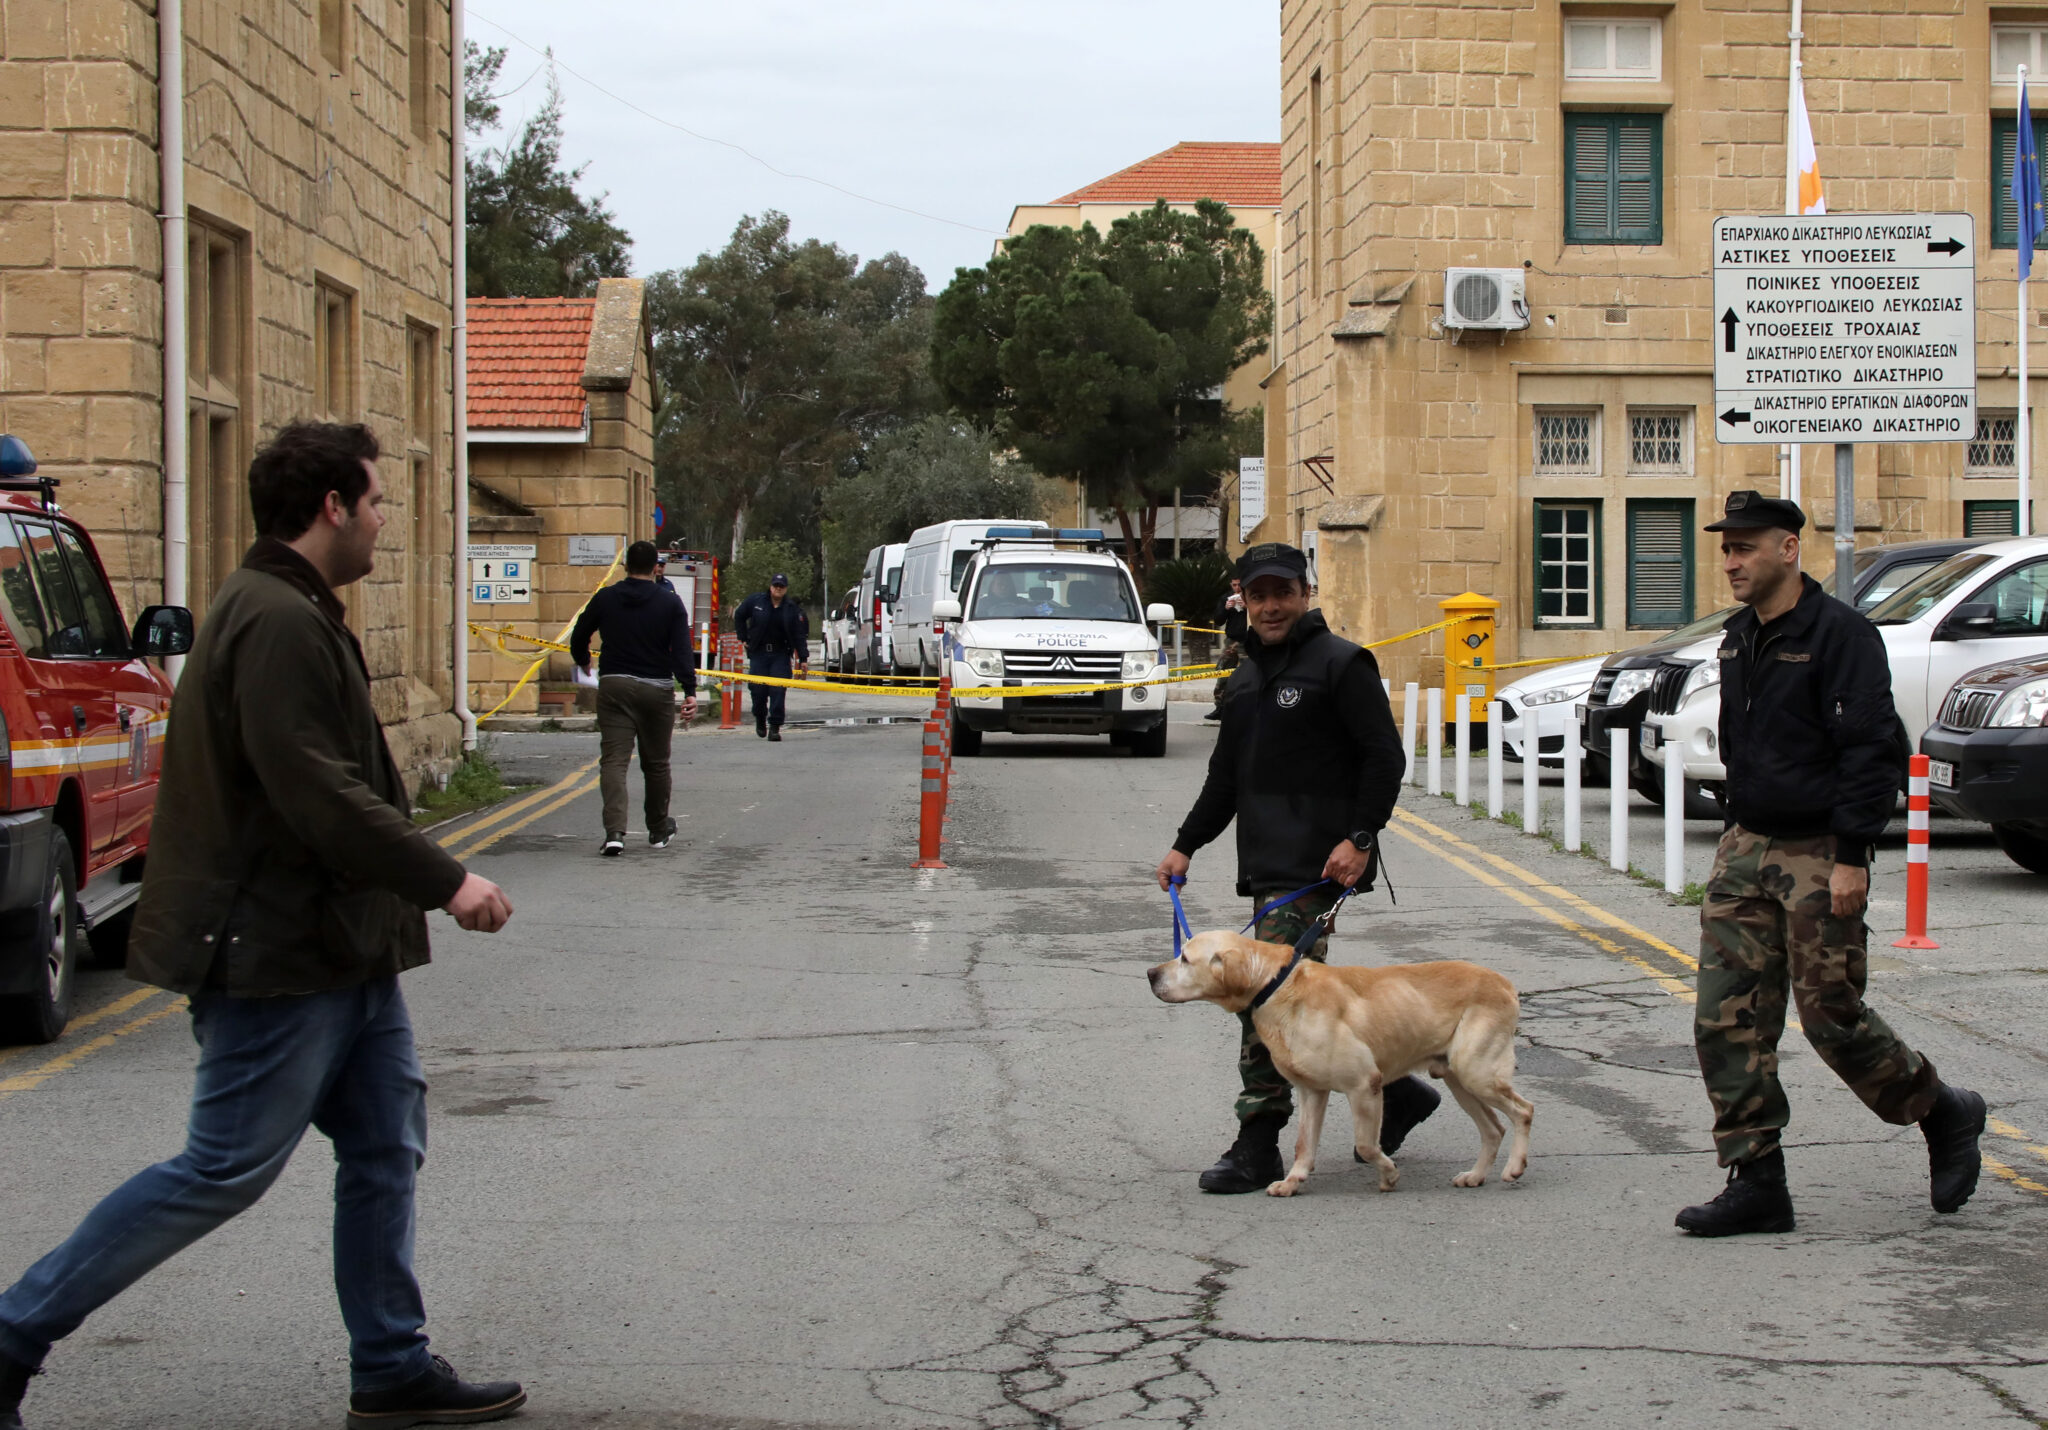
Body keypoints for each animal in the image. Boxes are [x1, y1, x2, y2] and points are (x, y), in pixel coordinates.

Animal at [1146, 926, 1531, 1188]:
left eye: (1185, 958)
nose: (1150, 974)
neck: (1276, 984)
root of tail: (1505, 983)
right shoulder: (1312, 1091)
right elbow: (1303, 1144)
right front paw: (1292, 1181)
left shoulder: (1364, 1085)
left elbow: (1366, 1144)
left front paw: (1388, 1174)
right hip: (1459, 1079)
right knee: (1494, 1129)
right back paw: (1475, 1175)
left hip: (1477, 1072)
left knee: (1523, 1111)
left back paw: (1514, 1167)